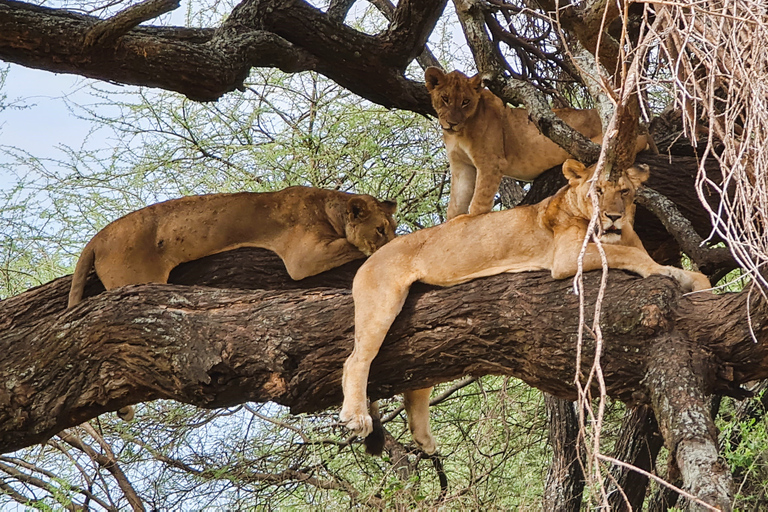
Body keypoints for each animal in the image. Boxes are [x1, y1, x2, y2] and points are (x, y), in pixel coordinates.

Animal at [340, 158, 712, 454]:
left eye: (624, 191)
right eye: (596, 191)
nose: (613, 217)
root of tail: (371, 256)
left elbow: (690, 272)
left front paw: (698, 286)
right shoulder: (567, 257)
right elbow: (631, 256)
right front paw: (663, 271)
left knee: (417, 375)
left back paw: (423, 437)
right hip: (382, 301)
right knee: (356, 360)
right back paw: (356, 416)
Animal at [426, 67, 648, 219]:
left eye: (465, 102)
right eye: (445, 99)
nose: (452, 123)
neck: (460, 133)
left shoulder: (491, 163)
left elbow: (478, 205)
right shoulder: (461, 165)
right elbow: (455, 206)